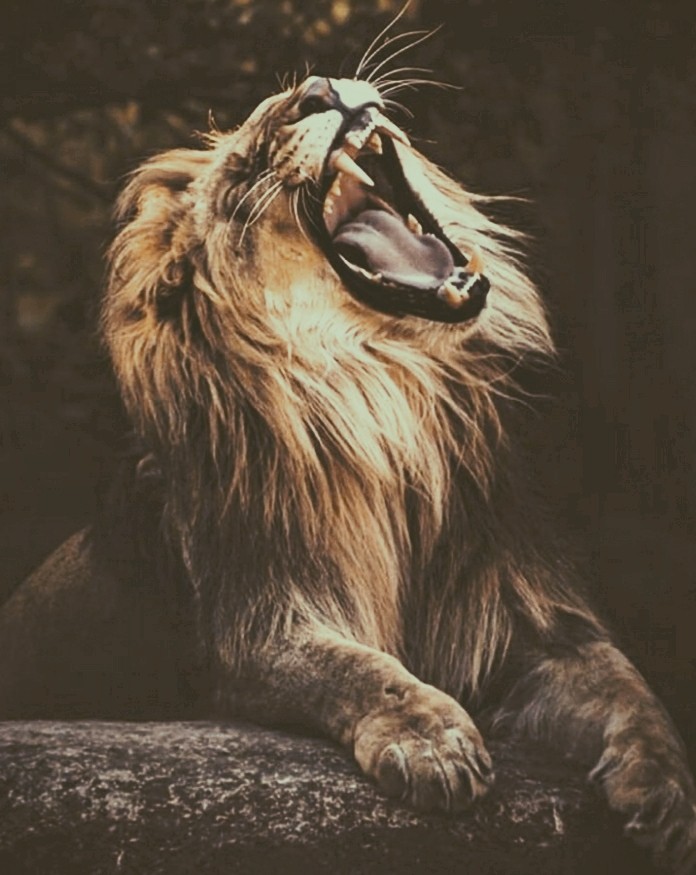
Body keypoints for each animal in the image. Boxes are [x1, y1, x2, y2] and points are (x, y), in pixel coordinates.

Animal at [1, 66, 695, 871]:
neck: (383, 386)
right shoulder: (257, 627)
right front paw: (435, 742)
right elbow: (362, 670)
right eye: (246, 166)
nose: (319, 89)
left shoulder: (524, 616)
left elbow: (626, 682)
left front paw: (669, 794)